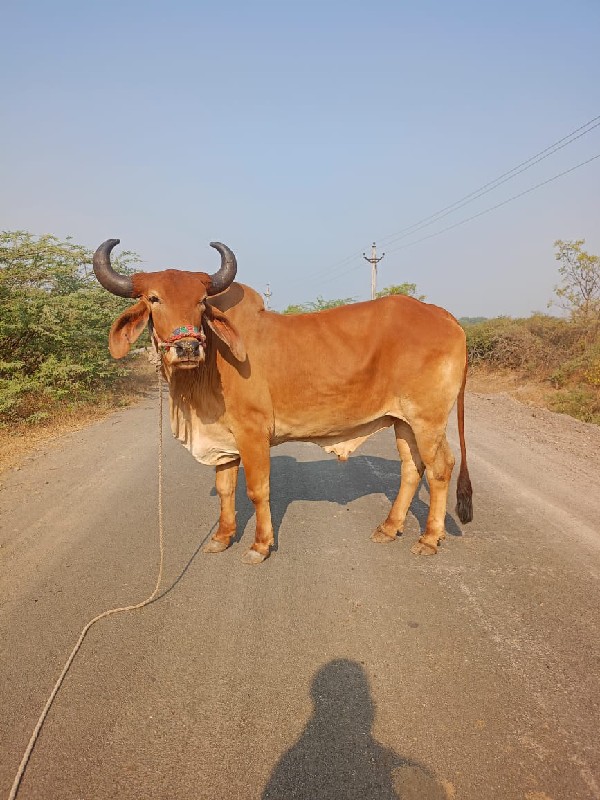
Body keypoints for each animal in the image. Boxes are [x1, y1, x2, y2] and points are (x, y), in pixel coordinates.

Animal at [94, 238, 472, 564]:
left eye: (201, 300)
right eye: (154, 299)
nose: (187, 347)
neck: (209, 364)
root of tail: (442, 314)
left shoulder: (253, 432)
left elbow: (257, 490)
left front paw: (260, 545)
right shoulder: (224, 439)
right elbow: (225, 488)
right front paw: (222, 537)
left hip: (427, 419)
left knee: (441, 468)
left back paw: (428, 538)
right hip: (403, 421)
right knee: (412, 468)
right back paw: (389, 527)